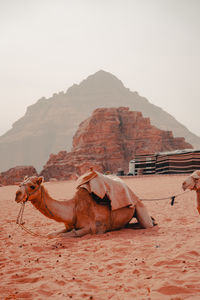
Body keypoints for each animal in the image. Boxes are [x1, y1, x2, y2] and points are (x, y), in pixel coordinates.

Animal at [15, 171, 155, 239]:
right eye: (20, 183)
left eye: (32, 186)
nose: (17, 195)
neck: (73, 208)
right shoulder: (68, 225)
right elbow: (52, 234)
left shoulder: (92, 228)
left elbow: (67, 235)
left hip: (139, 207)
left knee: (148, 224)